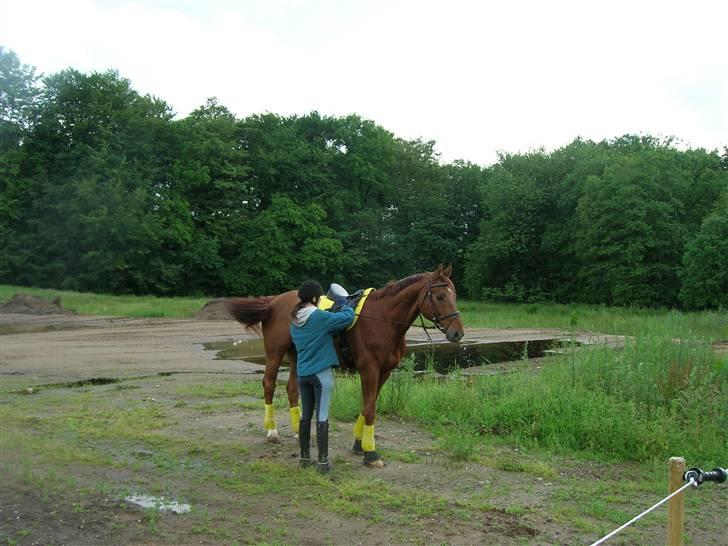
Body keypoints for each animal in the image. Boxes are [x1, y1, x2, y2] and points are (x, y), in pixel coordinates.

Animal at [228, 262, 464, 464]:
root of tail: (273, 301)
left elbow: (368, 405)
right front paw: (370, 453)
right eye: (440, 296)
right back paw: (272, 431)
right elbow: (370, 409)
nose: (458, 332)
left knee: (292, 389)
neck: (383, 320)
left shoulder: (384, 372)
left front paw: (359, 444)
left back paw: (297, 431)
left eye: (454, 295)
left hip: (298, 356)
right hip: (275, 354)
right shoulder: (369, 370)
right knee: (268, 384)